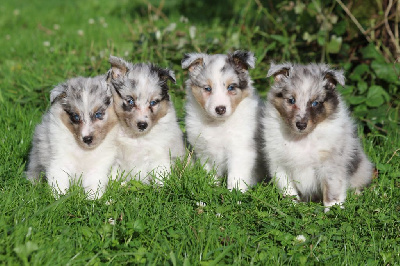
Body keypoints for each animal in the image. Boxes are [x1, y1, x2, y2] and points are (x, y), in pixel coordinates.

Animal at [108, 55, 186, 184]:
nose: (142, 125)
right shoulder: (114, 156)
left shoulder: (159, 153)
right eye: (130, 101)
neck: (136, 137)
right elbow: (113, 176)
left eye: (153, 102)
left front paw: (162, 187)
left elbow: (160, 175)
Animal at [182, 50, 266, 191]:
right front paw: (210, 187)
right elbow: (209, 172)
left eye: (231, 87)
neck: (218, 123)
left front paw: (235, 194)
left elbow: (236, 176)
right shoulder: (204, 151)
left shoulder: (240, 150)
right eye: (207, 88)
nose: (220, 109)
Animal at [264, 62, 374, 212]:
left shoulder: (331, 165)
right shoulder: (279, 164)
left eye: (315, 103)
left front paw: (333, 211)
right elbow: (288, 189)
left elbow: (332, 191)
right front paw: (292, 207)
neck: (302, 138)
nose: (301, 125)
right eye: (291, 100)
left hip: (362, 168)